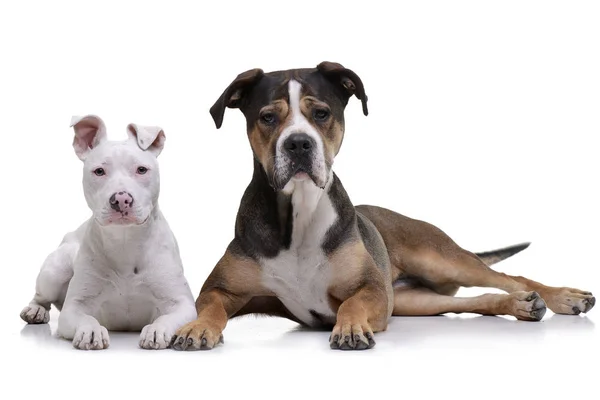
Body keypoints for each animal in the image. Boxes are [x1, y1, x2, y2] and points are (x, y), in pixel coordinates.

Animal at [18, 114, 196, 348]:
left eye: (141, 169)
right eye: (99, 171)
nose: (121, 199)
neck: (125, 241)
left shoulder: (183, 304)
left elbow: (169, 317)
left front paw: (156, 329)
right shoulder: (74, 307)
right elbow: (84, 317)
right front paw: (91, 331)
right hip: (55, 270)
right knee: (42, 295)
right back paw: (35, 310)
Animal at [172, 61, 596, 350]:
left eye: (321, 113)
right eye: (267, 117)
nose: (298, 143)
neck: (299, 214)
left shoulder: (372, 289)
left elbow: (350, 305)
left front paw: (350, 328)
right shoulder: (220, 288)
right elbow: (209, 307)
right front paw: (195, 328)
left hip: (438, 257)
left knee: (512, 277)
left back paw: (564, 297)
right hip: (414, 300)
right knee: (476, 299)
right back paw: (520, 306)